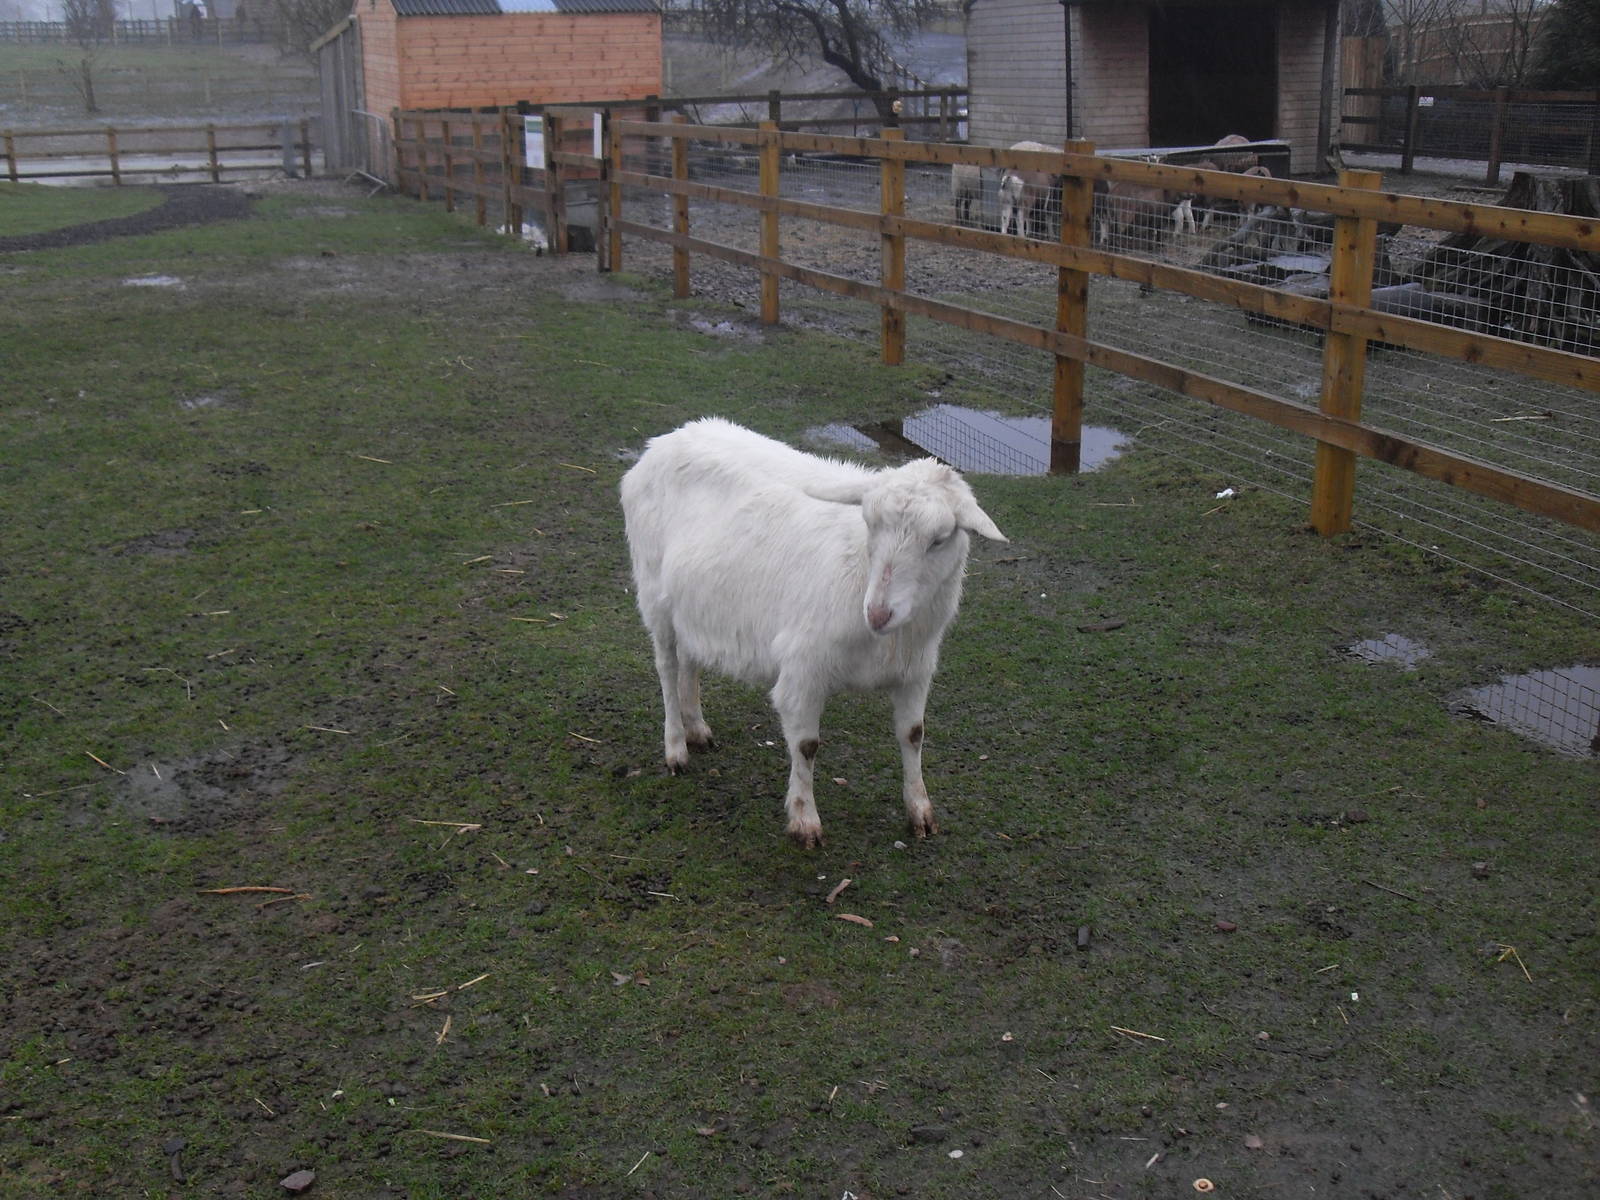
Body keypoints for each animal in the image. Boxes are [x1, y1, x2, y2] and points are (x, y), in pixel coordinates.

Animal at [620, 418, 1007, 848]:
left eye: (938, 540)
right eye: (870, 524)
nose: (878, 613)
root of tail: (665, 440)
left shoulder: (915, 670)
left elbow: (913, 735)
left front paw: (920, 811)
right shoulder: (802, 669)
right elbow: (806, 747)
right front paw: (805, 820)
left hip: (694, 602)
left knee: (689, 660)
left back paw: (697, 729)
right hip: (654, 594)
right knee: (667, 668)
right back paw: (675, 748)